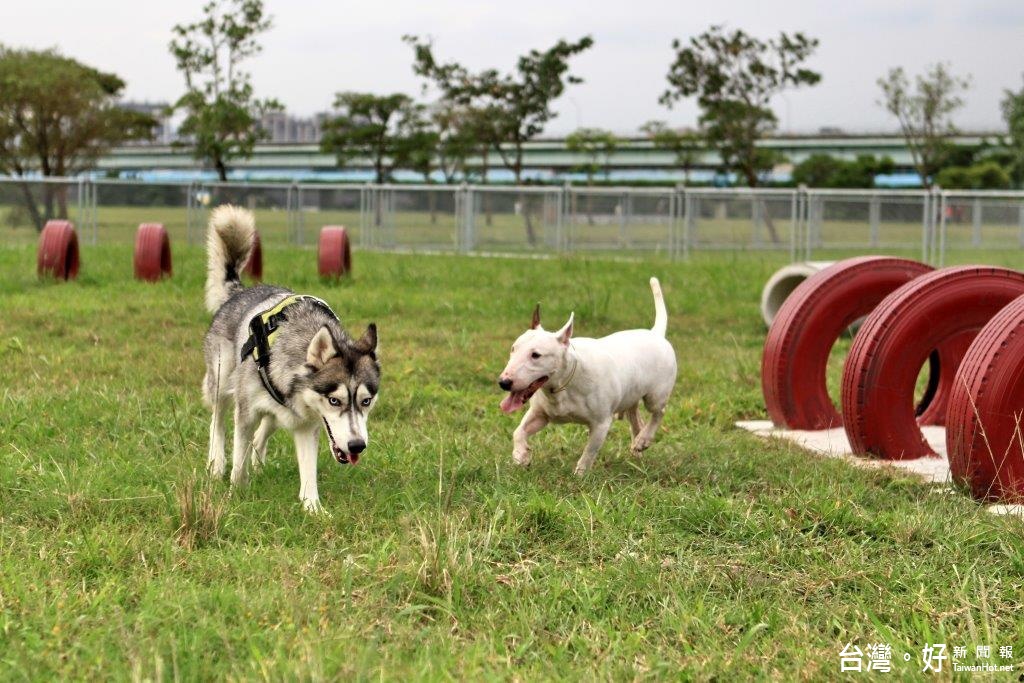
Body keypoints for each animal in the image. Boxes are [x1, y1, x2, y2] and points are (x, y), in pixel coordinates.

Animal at [199, 205, 380, 516]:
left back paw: (258, 465)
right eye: (335, 400)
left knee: (261, 434)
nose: (357, 445)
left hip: (277, 414)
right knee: (218, 422)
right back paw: (216, 464)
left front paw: (313, 509)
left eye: (366, 401)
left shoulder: (306, 425)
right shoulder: (246, 412)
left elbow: (308, 472)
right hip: (222, 383)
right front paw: (237, 492)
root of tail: (242, 291)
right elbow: (239, 458)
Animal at [497, 278, 675, 475]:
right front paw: (521, 455)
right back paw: (639, 445)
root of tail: (655, 333)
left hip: (655, 395)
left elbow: (590, 451)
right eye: (513, 349)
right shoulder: (540, 415)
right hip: (632, 392)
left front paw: (580, 475)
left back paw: (644, 438)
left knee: (659, 412)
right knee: (635, 417)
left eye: (536, 355)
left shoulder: (601, 423)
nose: (504, 382)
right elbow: (518, 431)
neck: (563, 385)